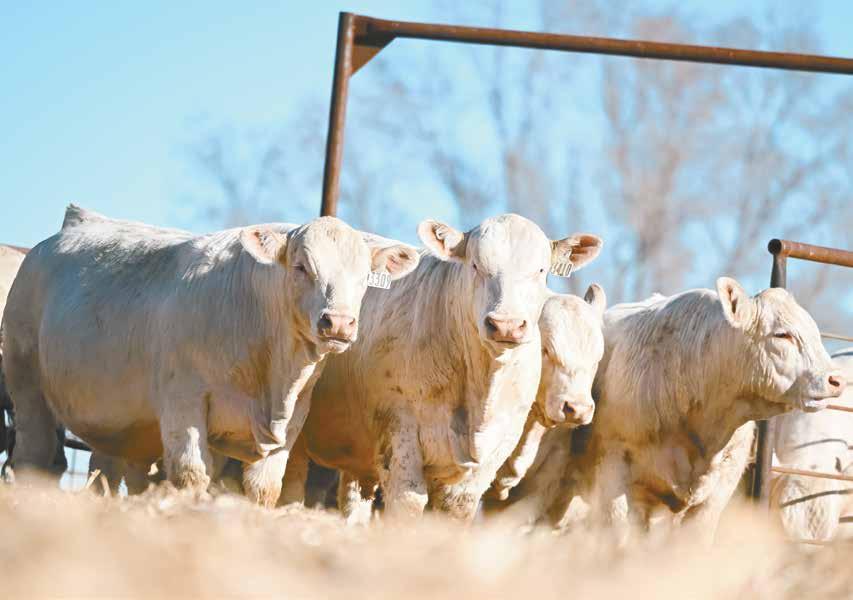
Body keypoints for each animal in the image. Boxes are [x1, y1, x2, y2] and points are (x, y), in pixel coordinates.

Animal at [1, 205, 419, 505]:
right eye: (301, 266)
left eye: (365, 277)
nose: (339, 323)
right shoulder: (182, 403)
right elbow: (191, 475)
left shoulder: (293, 419)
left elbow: (265, 488)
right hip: (27, 386)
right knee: (34, 456)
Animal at [276, 214, 603, 521]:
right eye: (475, 265)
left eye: (541, 271)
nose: (506, 325)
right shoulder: (400, 436)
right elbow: (407, 505)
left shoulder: (487, 463)